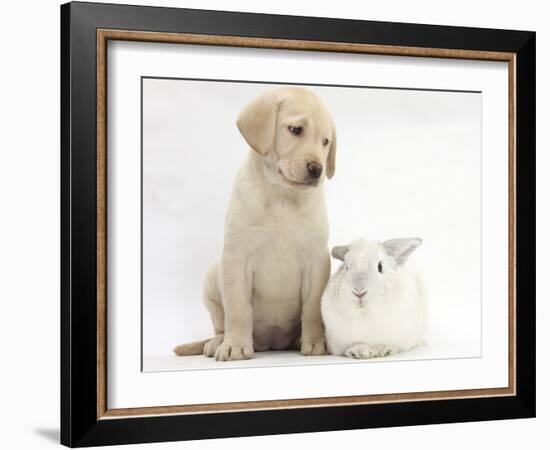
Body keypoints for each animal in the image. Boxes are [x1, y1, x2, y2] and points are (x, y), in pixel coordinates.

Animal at [175, 87, 336, 362]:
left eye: (325, 142)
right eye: (295, 130)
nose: (317, 169)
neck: (282, 196)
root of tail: (271, 344)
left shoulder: (317, 260)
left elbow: (313, 308)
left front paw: (316, 341)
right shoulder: (236, 258)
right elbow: (238, 309)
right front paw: (236, 346)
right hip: (213, 275)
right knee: (221, 324)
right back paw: (218, 342)